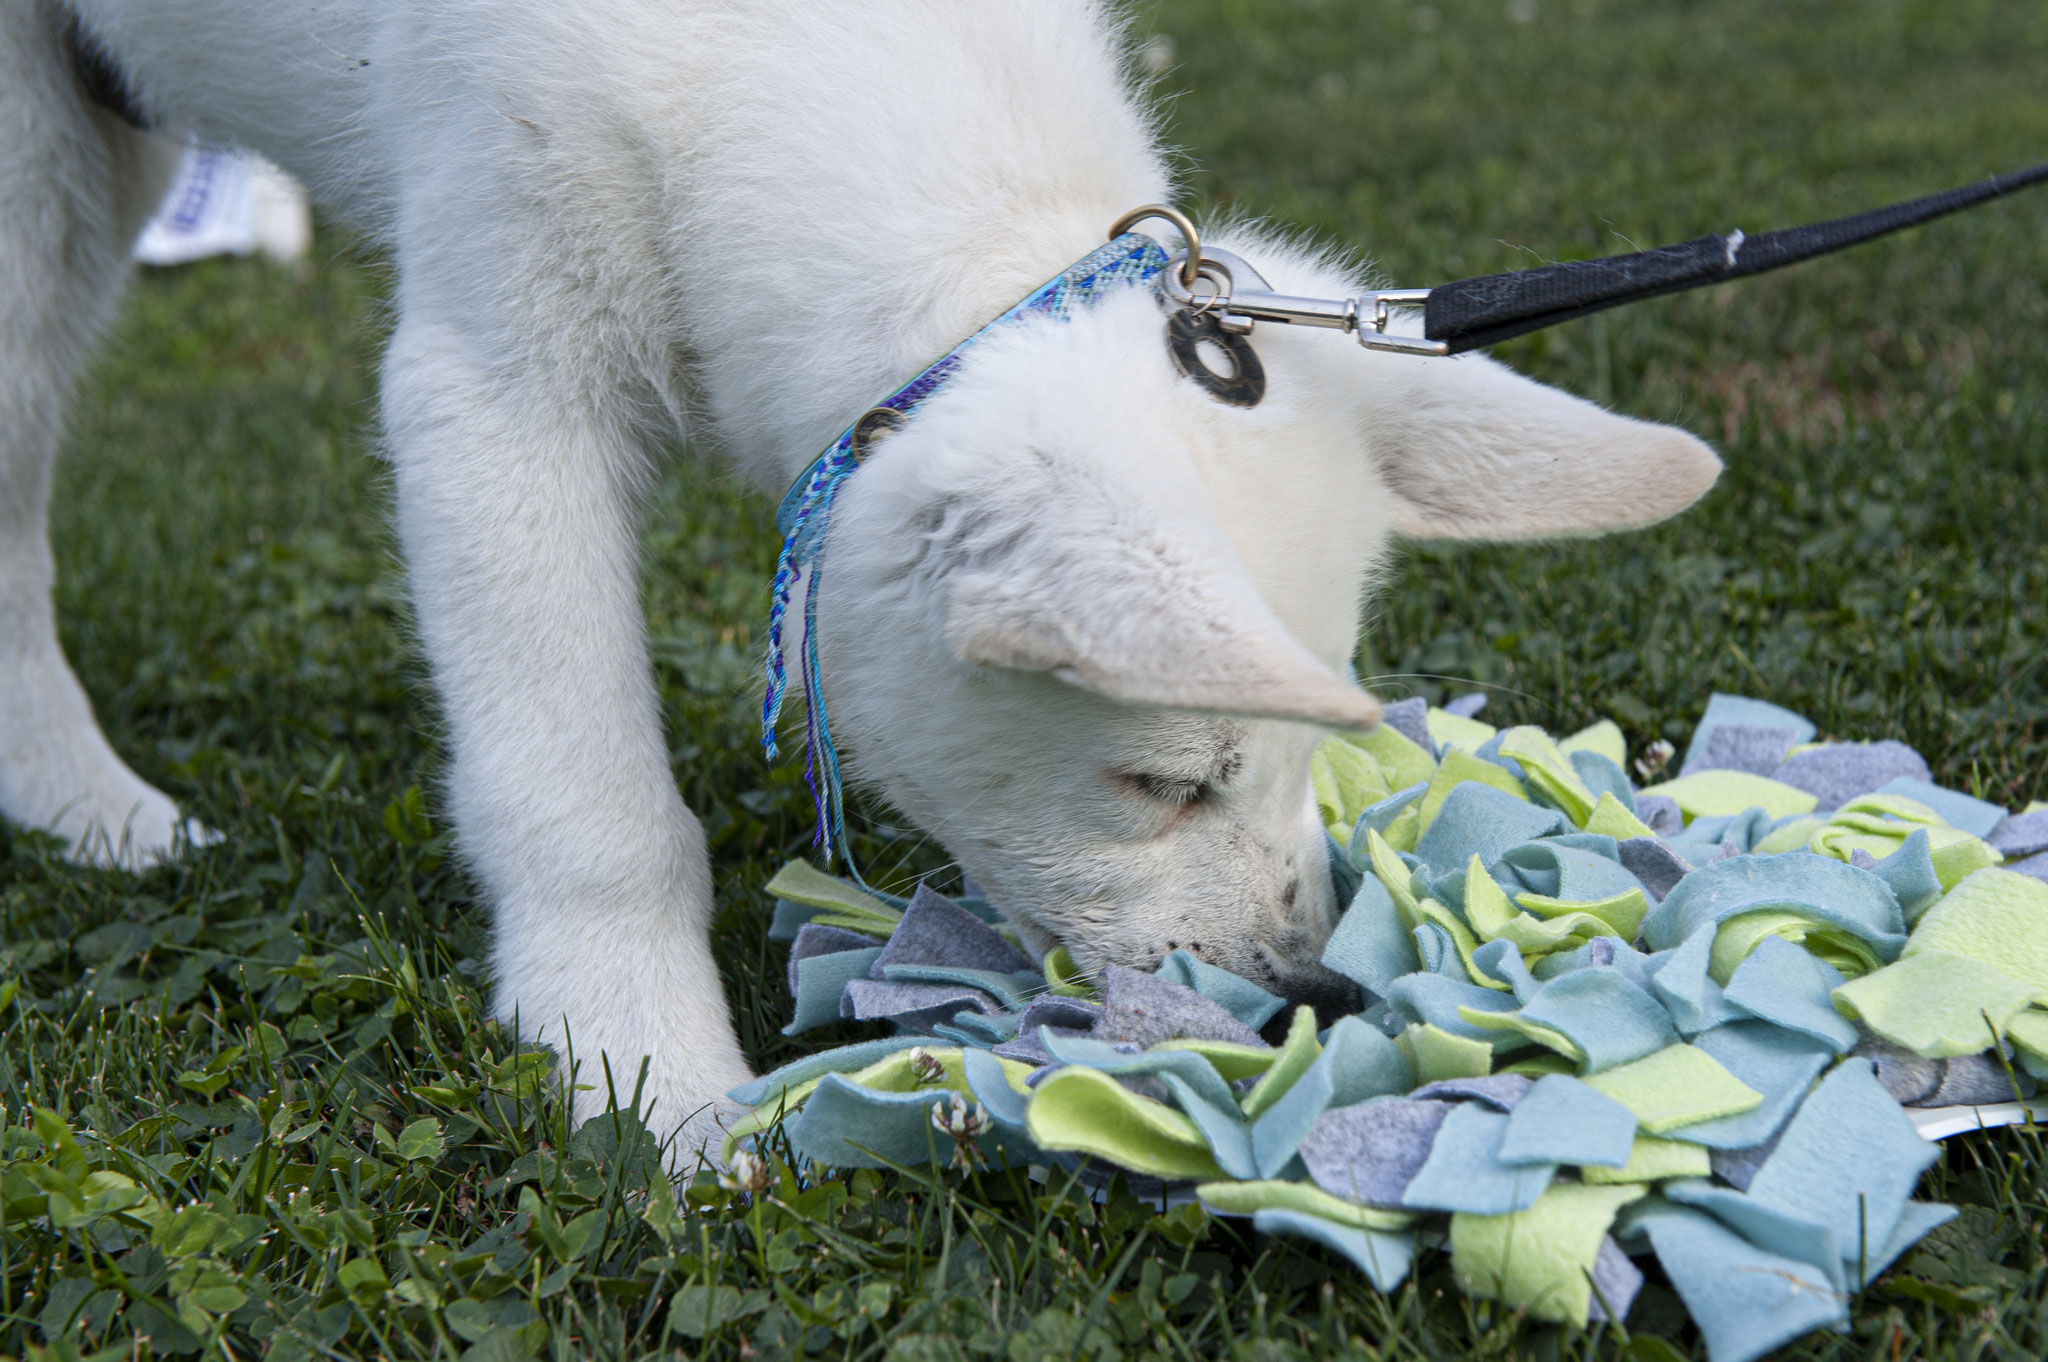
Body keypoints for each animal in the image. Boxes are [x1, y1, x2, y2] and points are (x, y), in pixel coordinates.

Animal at [8, 0, 1720, 1146]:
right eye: (1162, 783)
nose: (1306, 995)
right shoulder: (494, 392)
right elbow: (588, 799)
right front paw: (648, 1078)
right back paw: (95, 808)